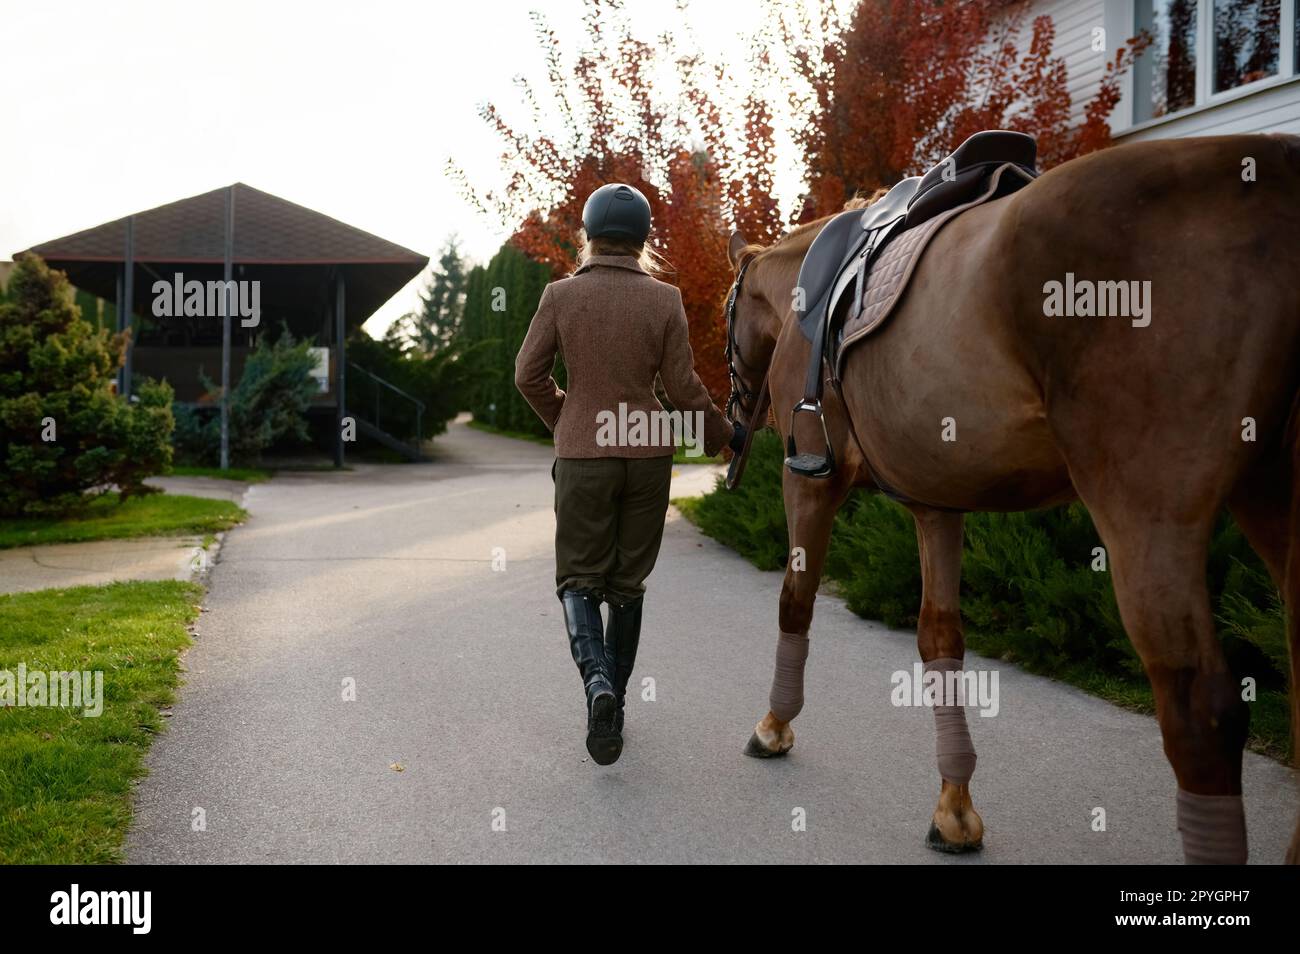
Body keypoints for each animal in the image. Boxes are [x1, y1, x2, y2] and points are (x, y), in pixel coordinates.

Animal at [728, 134, 1300, 868]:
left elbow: (794, 603)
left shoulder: (809, 482)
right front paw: (954, 808)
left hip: (1147, 518)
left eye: (725, 311)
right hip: (1269, 500)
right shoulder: (935, 504)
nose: (733, 413)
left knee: (1199, 716)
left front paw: (774, 725)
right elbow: (939, 637)